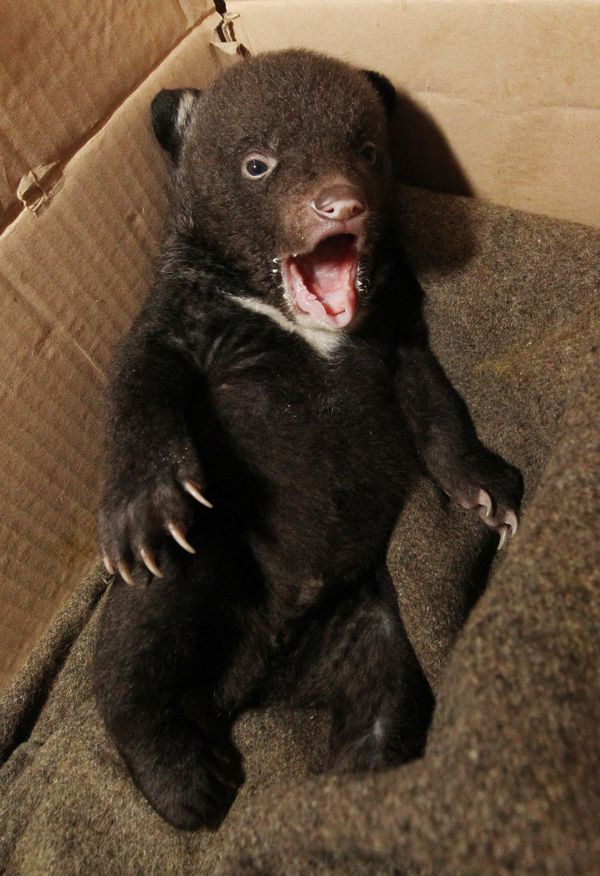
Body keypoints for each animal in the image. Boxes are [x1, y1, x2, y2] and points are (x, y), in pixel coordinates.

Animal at [93, 49, 522, 831]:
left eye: (367, 149)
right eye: (258, 164)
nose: (340, 205)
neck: (300, 320)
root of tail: (251, 683)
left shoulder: (395, 327)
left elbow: (433, 402)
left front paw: (487, 489)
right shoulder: (181, 308)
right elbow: (142, 371)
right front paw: (143, 503)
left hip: (362, 620)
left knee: (386, 694)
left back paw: (352, 793)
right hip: (209, 561)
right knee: (137, 645)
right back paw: (185, 779)